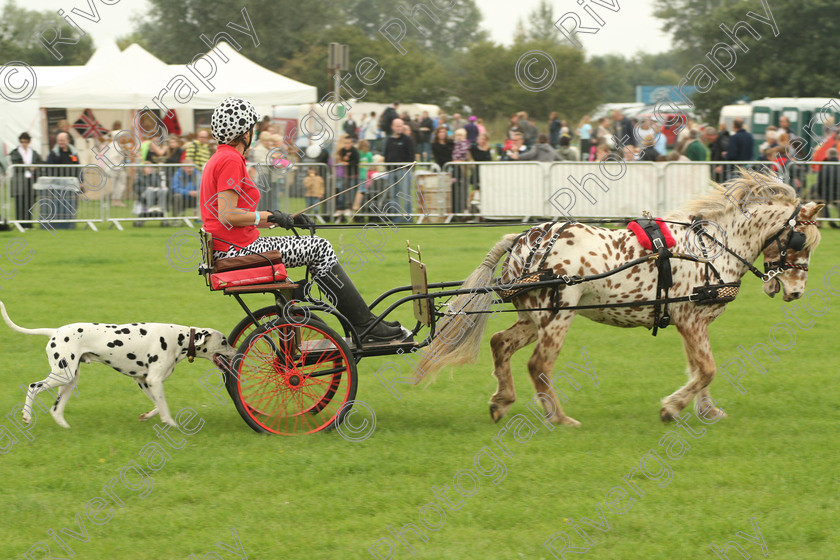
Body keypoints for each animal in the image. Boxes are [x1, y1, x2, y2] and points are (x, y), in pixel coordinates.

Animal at [0, 302, 236, 428]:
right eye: (224, 341)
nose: (237, 352)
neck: (180, 338)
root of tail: (54, 331)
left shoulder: (144, 381)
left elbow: (157, 403)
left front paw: (148, 415)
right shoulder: (153, 380)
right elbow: (164, 406)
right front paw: (170, 423)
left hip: (70, 379)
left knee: (56, 409)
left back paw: (65, 427)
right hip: (62, 375)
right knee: (33, 387)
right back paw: (26, 415)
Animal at [416, 171, 824, 424]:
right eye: (800, 241)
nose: (796, 291)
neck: (709, 250)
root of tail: (522, 239)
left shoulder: (691, 323)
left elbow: (700, 369)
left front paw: (706, 411)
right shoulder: (690, 320)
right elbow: (707, 368)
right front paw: (672, 407)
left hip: (534, 317)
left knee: (501, 344)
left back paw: (502, 401)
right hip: (559, 314)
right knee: (539, 365)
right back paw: (559, 417)